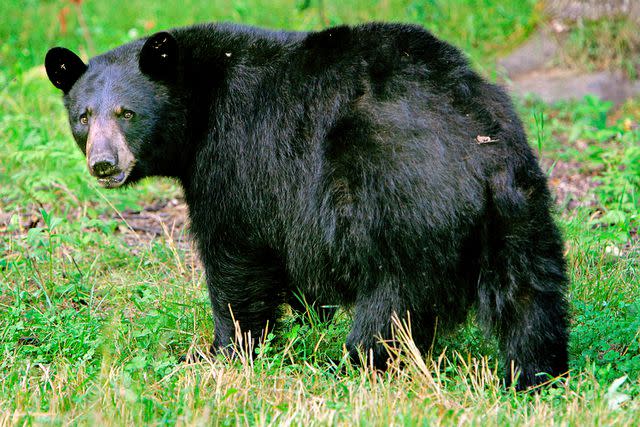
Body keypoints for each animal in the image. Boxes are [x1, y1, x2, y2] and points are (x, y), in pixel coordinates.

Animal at [46, 23, 568, 392]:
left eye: (127, 113)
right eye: (83, 116)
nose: (103, 163)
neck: (199, 103)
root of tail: (475, 144)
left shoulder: (237, 156)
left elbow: (235, 257)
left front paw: (223, 352)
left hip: (402, 204)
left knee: (393, 305)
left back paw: (355, 365)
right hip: (520, 205)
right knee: (531, 293)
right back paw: (535, 375)